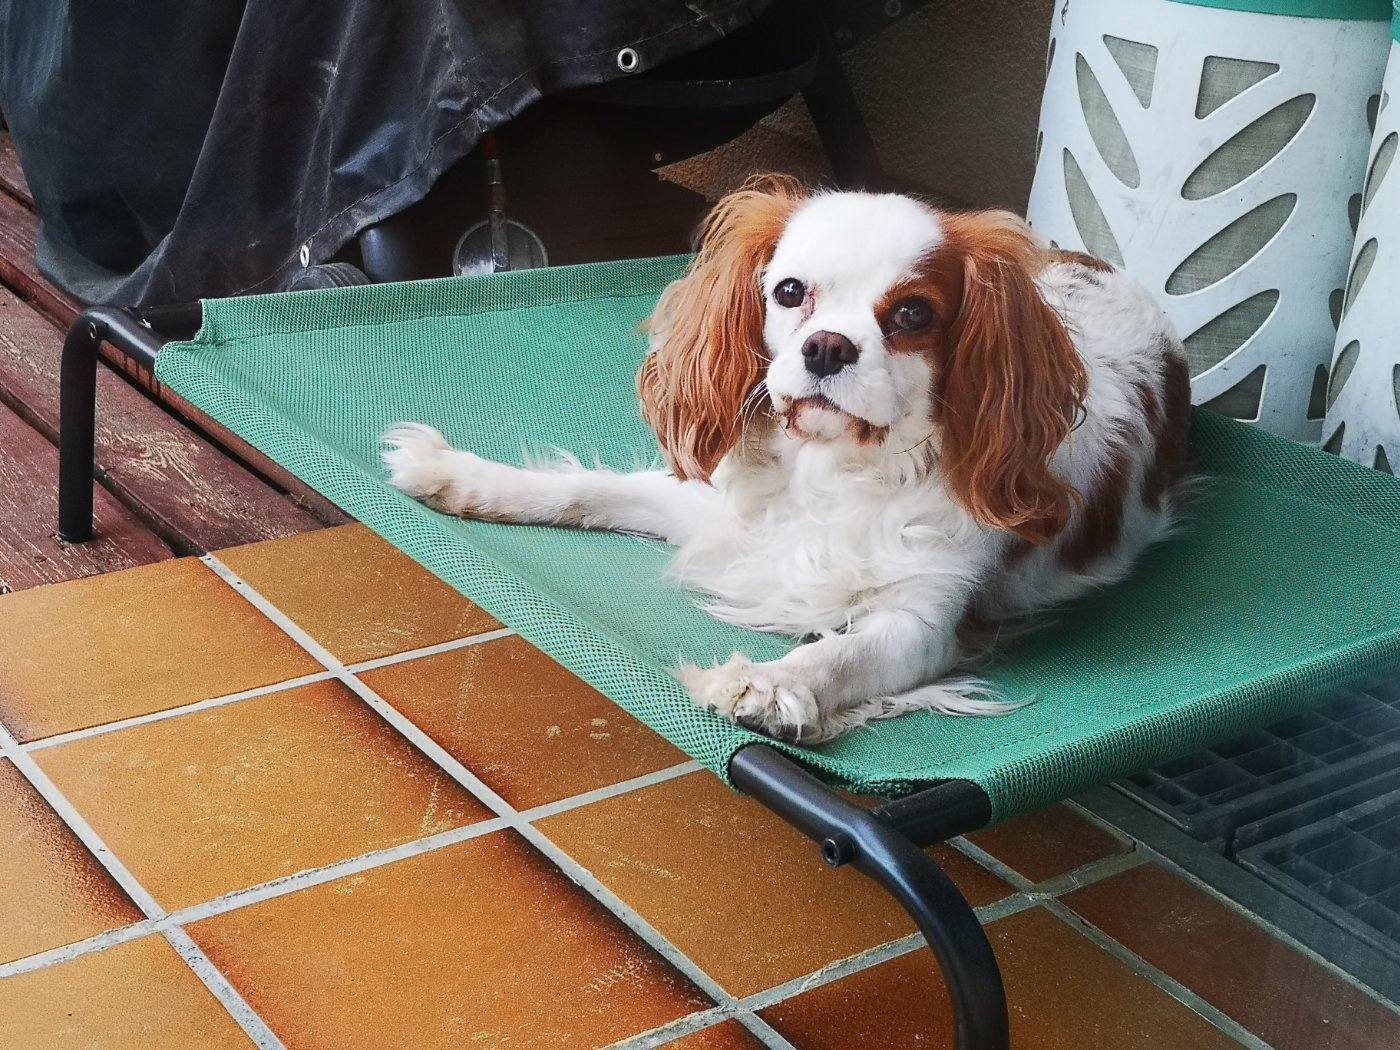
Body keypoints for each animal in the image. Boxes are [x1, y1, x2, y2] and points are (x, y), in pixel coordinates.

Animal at [383, 176, 1191, 744]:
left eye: (913, 314)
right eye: (789, 291)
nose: (827, 347)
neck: (830, 469)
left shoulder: (926, 617)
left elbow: (841, 654)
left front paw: (770, 685)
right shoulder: (723, 514)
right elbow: (587, 491)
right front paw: (463, 477)